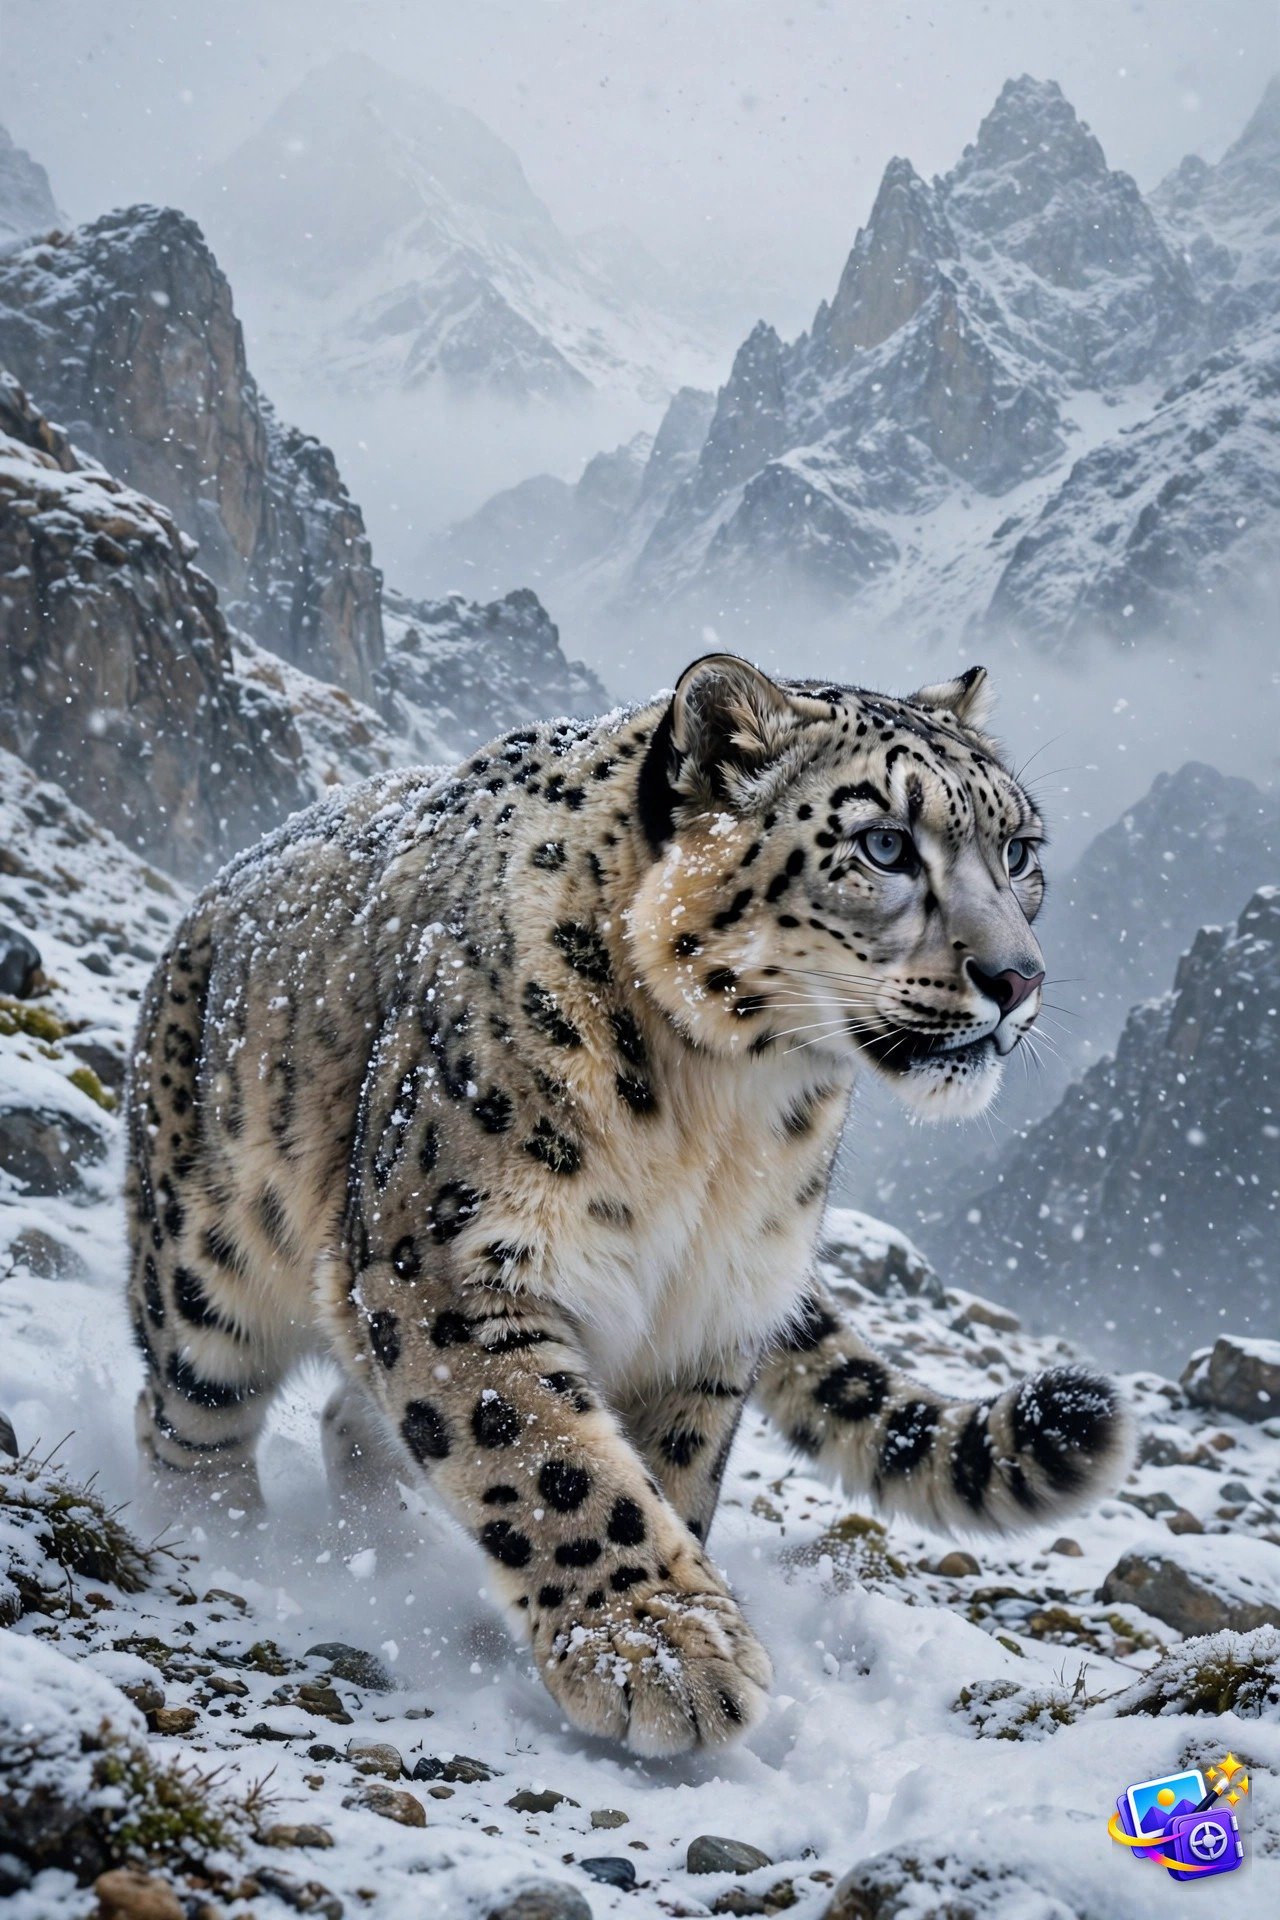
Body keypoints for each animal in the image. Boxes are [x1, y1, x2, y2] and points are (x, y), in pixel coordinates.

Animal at [125, 652, 1131, 1757]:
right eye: (883, 844)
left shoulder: (712, 1312)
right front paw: (661, 1652)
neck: (720, 1123)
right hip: (205, 1267)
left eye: (1020, 851)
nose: (1017, 977)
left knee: (355, 1413)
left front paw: (670, 1631)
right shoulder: (443, 1260)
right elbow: (543, 1453)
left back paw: (377, 1543)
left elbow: (667, 1474)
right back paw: (221, 1542)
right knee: (188, 1413)